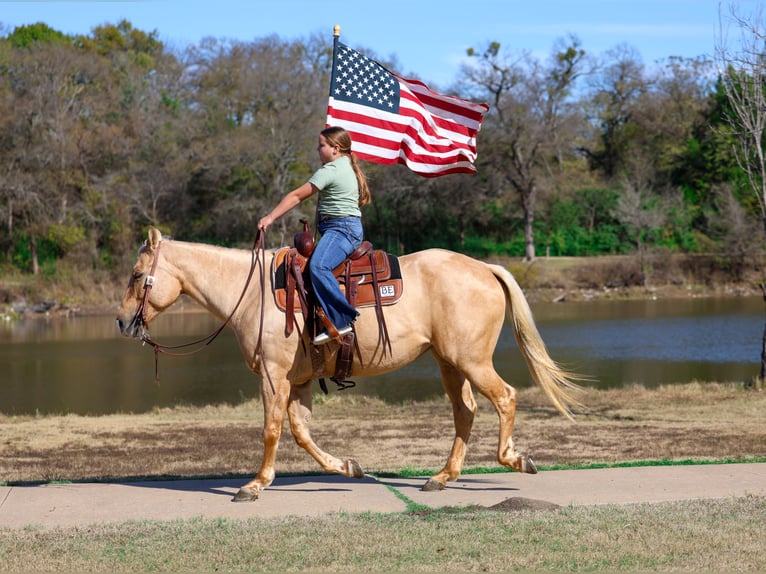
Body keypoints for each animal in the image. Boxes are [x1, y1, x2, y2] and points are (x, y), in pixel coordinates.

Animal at [116, 226, 582, 502]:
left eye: (137, 276)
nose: (121, 321)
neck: (252, 294)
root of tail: (484, 268)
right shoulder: (298, 381)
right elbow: (301, 433)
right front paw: (346, 467)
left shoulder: (273, 376)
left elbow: (271, 430)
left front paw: (255, 484)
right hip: (450, 362)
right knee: (465, 412)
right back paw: (442, 476)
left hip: (471, 360)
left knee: (505, 397)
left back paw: (513, 459)